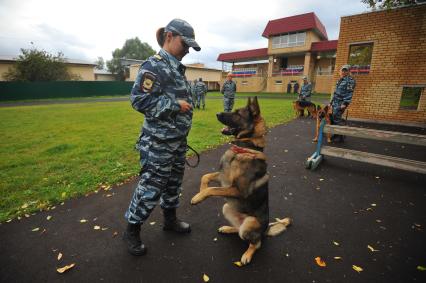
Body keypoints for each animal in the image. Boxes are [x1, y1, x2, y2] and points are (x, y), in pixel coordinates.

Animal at [191, 97, 292, 266]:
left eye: (238, 114)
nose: (217, 113)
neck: (244, 148)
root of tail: (264, 231)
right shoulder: (223, 177)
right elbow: (205, 176)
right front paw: (200, 191)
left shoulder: (237, 189)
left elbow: (213, 189)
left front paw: (198, 197)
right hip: (227, 208)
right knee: (238, 230)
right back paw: (228, 228)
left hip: (250, 223)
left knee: (256, 243)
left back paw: (247, 254)